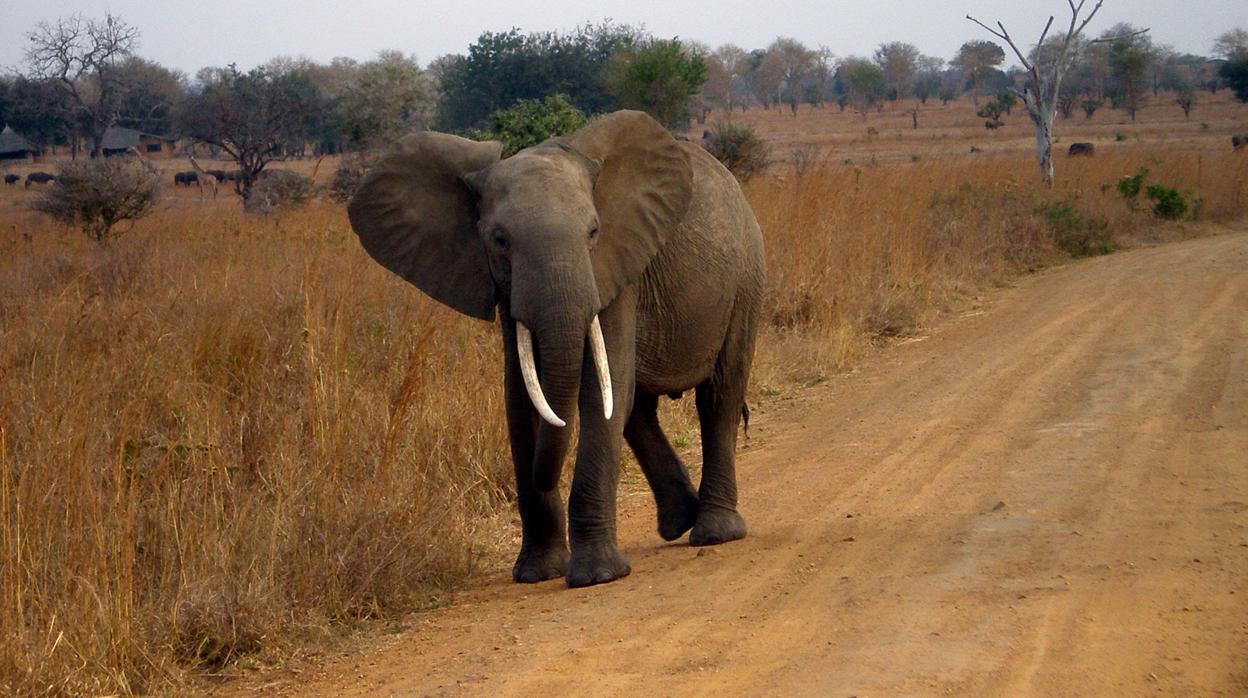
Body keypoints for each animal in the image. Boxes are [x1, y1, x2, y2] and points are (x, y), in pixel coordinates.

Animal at [346, 110, 763, 589]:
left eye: (593, 231)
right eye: (500, 241)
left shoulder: (617, 268)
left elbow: (601, 390)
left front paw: (597, 576)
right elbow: (522, 396)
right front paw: (538, 572)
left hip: (746, 277)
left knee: (717, 396)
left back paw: (713, 533)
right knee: (636, 409)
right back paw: (679, 522)